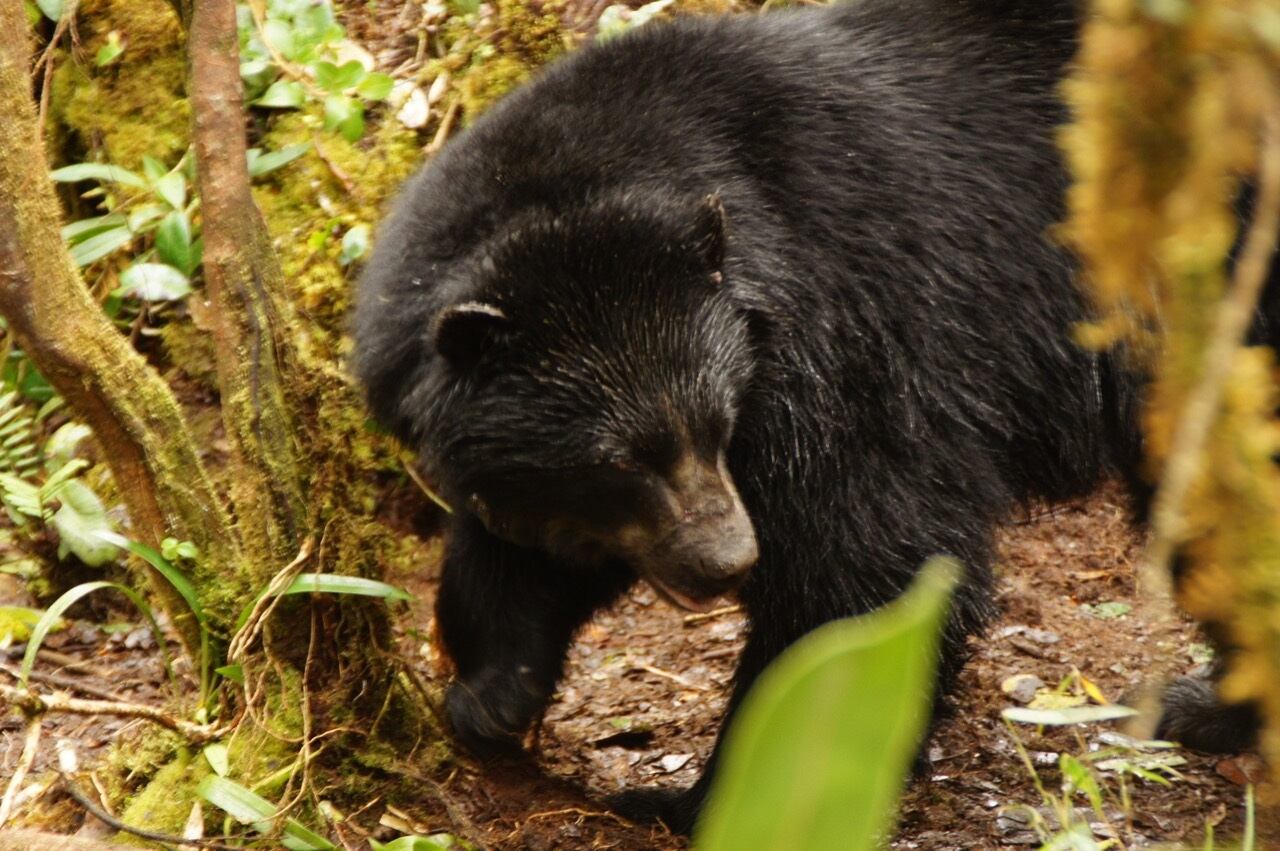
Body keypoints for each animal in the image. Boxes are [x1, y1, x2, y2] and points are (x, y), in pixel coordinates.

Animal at [354, 0, 1268, 833]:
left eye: (718, 423)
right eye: (615, 460)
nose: (726, 559)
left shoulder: (850, 334)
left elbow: (865, 557)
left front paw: (707, 794)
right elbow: (520, 543)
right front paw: (491, 689)